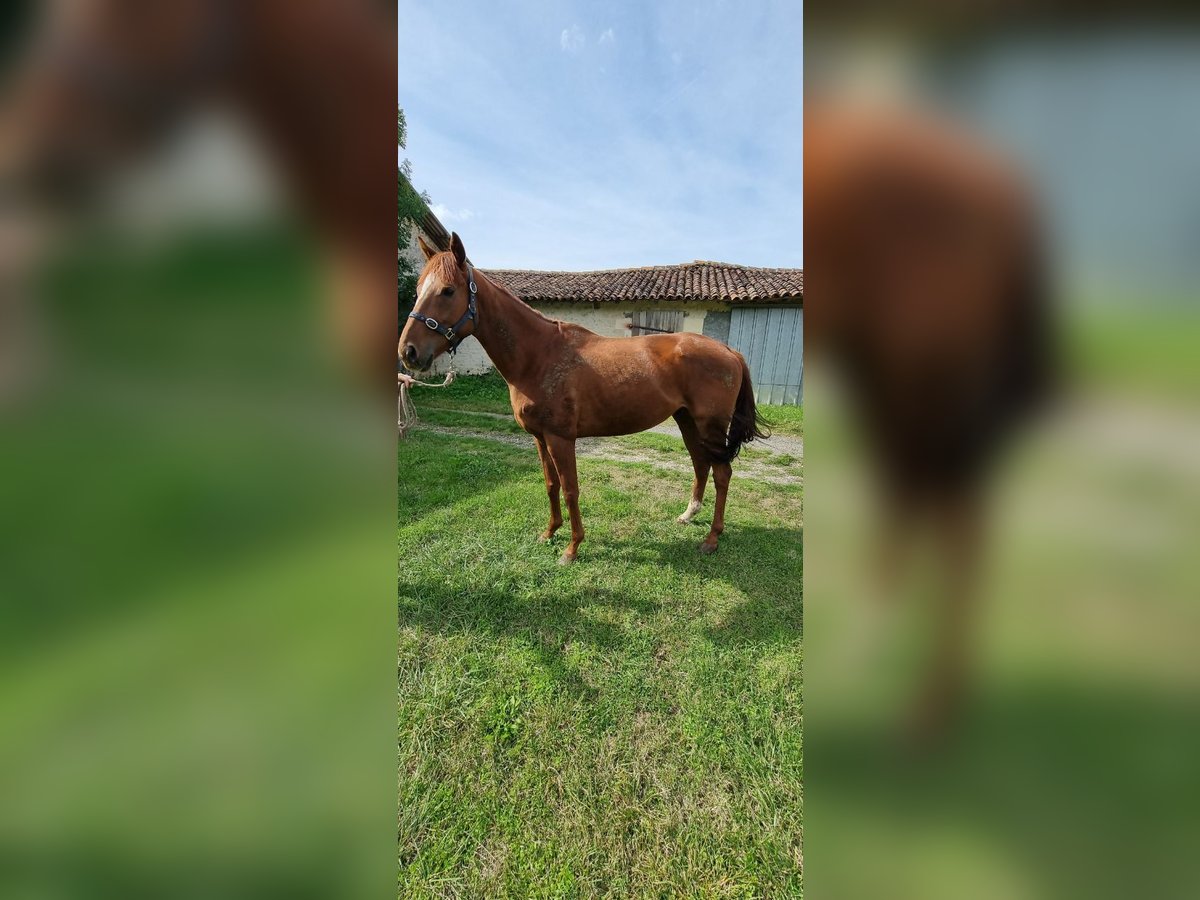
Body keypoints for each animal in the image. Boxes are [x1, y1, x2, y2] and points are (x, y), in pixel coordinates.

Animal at [400, 232, 768, 564]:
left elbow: (570, 489)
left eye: (448, 290)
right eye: (418, 290)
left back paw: (712, 539)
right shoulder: (539, 437)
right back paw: (688, 516)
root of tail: (729, 350)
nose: (409, 352)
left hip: (711, 426)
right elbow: (551, 485)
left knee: (722, 473)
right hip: (687, 421)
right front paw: (549, 532)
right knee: (701, 464)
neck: (539, 355)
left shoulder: (561, 438)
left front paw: (572, 547)